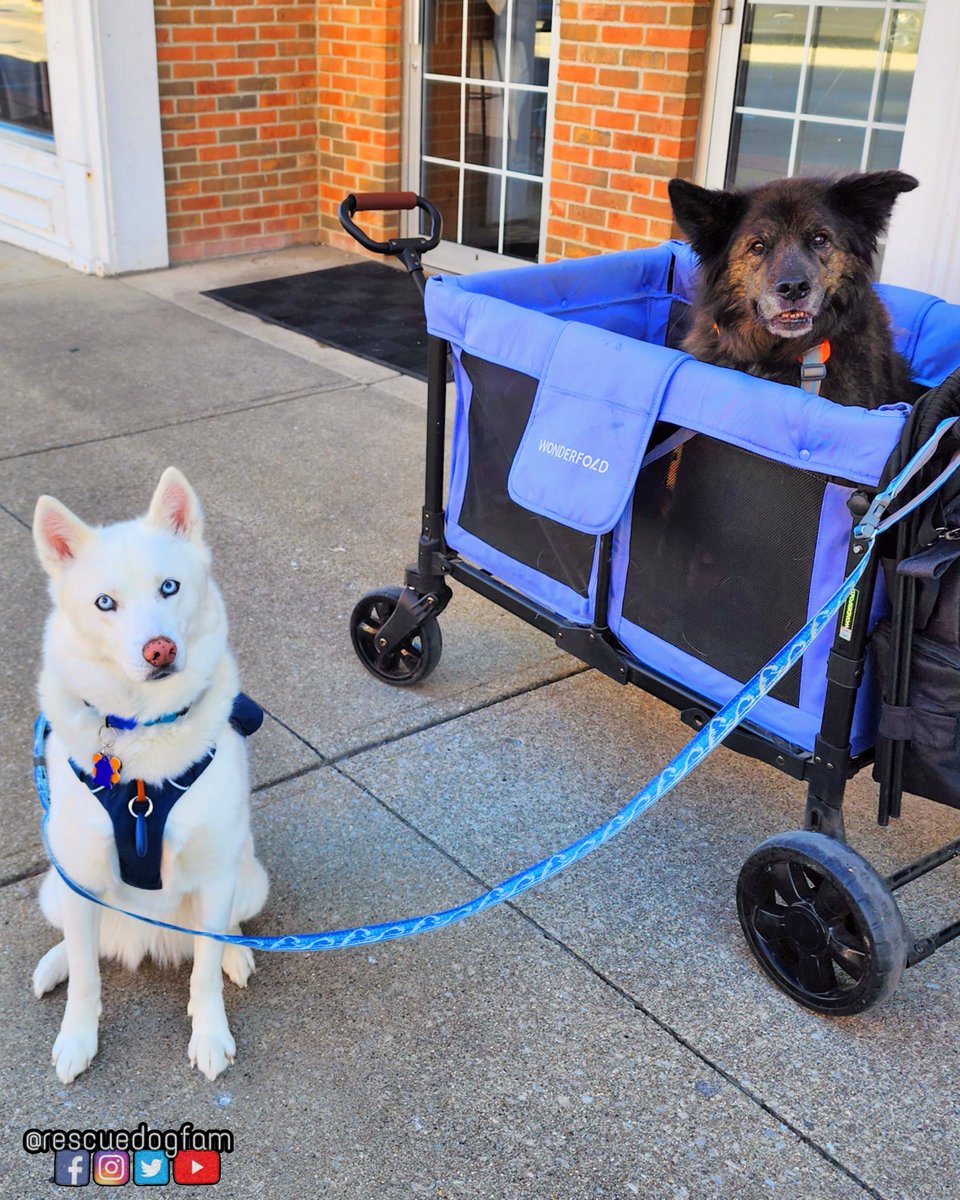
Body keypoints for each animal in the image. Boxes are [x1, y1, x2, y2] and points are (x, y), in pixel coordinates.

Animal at [32, 470, 267, 1089]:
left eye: (169, 587)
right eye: (105, 603)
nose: (159, 649)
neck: (142, 729)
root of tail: (144, 938)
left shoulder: (215, 874)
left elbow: (202, 974)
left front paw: (209, 1035)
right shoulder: (79, 873)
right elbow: (87, 978)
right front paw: (77, 1038)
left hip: (249, 880)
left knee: (226, 929)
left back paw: (235, 952)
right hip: (55, 887)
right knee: (80, 943)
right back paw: (56, 962)